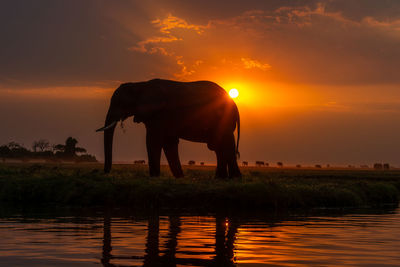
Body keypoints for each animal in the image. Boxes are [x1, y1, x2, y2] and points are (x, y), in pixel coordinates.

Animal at [97, 78, 241, 179]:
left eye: (120, 103)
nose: (106, 173)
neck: (140, 85)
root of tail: (234, 103)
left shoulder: (159, 114)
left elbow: (153, 140)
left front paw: (154, 177)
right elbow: (169, 142)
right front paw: (180, 177)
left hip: (224, 119)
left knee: (224, 144)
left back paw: (231, 178)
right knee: (219, 146)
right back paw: (224, 178)